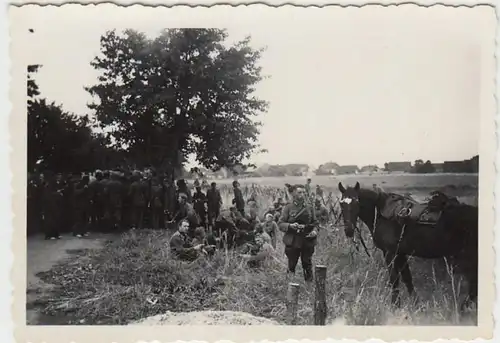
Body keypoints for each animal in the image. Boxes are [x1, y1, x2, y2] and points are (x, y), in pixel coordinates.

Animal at [338, 183, 478, 312]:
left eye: (357, 203)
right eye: (341, 204)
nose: (348, 230)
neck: (381, 215)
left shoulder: (390, 253)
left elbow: (394, 280)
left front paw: (395, 305)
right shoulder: (400, 253)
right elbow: (407, 278)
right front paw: (416, 304)